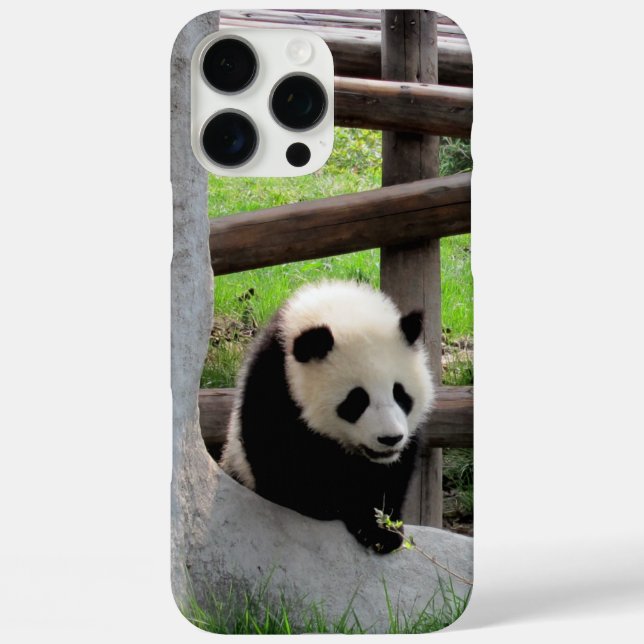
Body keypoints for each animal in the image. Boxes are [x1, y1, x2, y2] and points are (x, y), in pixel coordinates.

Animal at [219, 280, 435, 553]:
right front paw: (330, 506)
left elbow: (392, 472)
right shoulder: (276, 382)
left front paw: (381, 530)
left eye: (400, 393)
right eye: (356, 400)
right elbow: (282, 461)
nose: (389, 438)